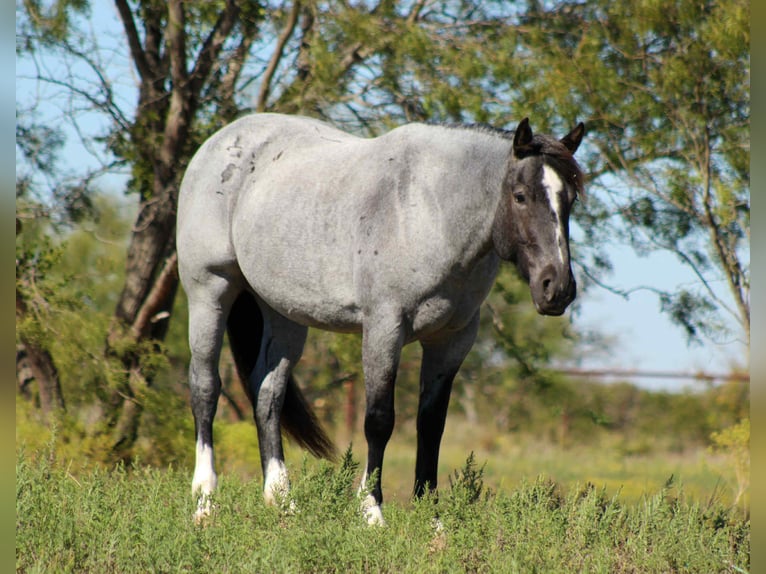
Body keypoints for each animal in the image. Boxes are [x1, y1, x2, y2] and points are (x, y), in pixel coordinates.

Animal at [177, 112, 584, 524]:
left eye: (570, 199)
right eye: (520, 195)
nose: (557, 288)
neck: (428, 209)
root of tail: (219, 140)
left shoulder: (452, 340)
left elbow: (431, 424)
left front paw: (431, 516)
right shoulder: (384, 328)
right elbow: (379, 419)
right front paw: (371, 511)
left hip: (284, 314)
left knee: (267, 394)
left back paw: (282, 500)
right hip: (210, 291)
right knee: (205, 388)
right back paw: (204, 502)